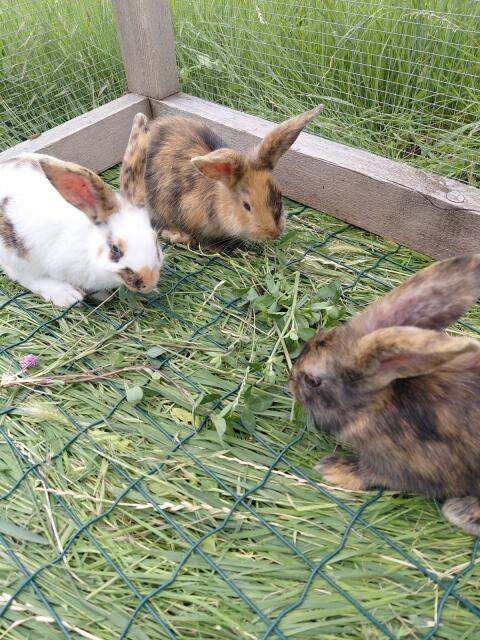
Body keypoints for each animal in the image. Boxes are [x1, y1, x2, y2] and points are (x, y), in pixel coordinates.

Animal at [0, 113, 162, 307]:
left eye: (155, 240)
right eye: (115, 249)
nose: (149, 282)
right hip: (16, 254)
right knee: (22, 275)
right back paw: (66, 294)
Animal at [289, 255, 480, 536]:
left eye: (313, 381)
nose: (290, 382)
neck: (376, 406)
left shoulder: (408, 465)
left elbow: (375, 474)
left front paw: (333, 469)